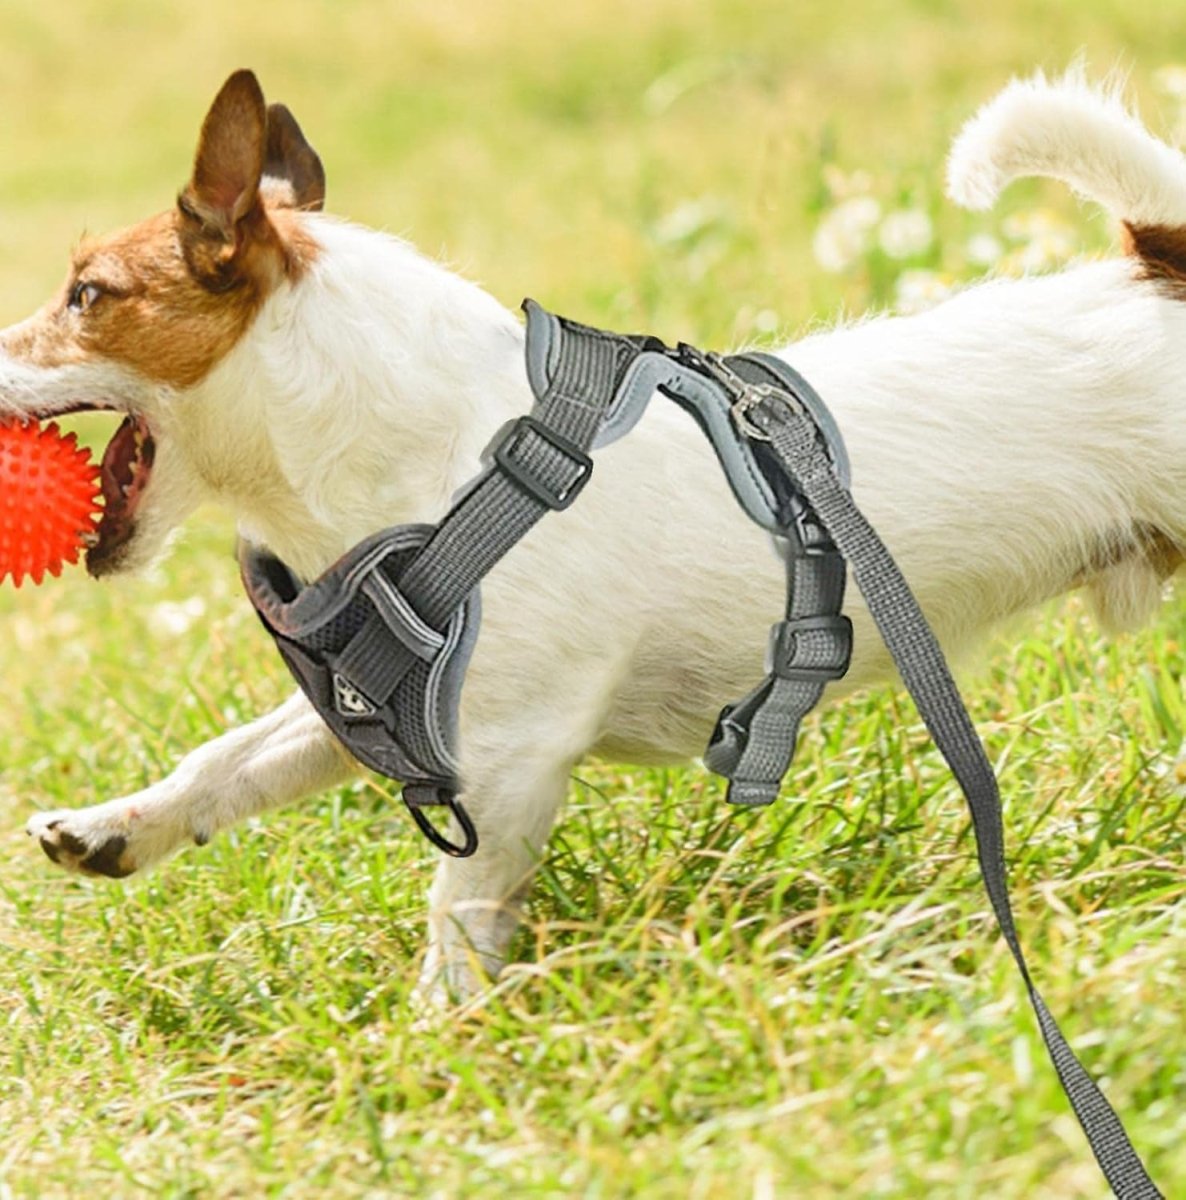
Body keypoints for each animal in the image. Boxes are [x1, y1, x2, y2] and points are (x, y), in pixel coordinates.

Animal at [4, 68, 1181, 1003]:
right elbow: (228, 762)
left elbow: (460, 913)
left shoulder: (512, 754)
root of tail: (1154, 269)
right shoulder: (388, 708)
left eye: (86, 294)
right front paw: (119, 827)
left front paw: (437, 1042)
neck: (442, 462)